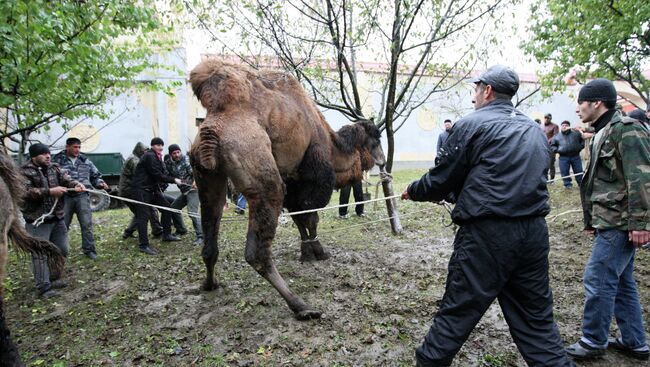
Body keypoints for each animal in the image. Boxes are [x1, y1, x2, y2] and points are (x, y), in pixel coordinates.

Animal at [189, 59, 384, 320]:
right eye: (377, 138)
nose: (383, 159)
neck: (332, 145)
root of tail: (213, 127)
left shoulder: (293, 182)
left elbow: (300, 218)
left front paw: (307, 252)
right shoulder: (313, 178)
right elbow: (311, 217)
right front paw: (317, 252)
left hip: (207, 178)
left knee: (210, 238)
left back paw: (210, 284)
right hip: (262, 176)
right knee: (257, 252)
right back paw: (301, 306)